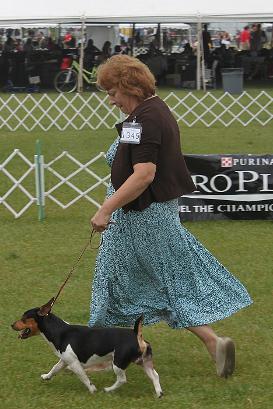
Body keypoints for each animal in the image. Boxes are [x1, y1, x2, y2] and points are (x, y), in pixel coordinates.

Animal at [11, 298, 163, 396]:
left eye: (24, 318)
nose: (11, 325)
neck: (59, 331)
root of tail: (136, 334)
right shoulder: (64, 360)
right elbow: (54, 368)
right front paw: (46, 377)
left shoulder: (74, 364)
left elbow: (84, 377)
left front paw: (92, 390)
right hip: (144, 361)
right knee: (155, 376)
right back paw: (159, 393)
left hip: (118, 363)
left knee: (122, 380)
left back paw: (108, 390)